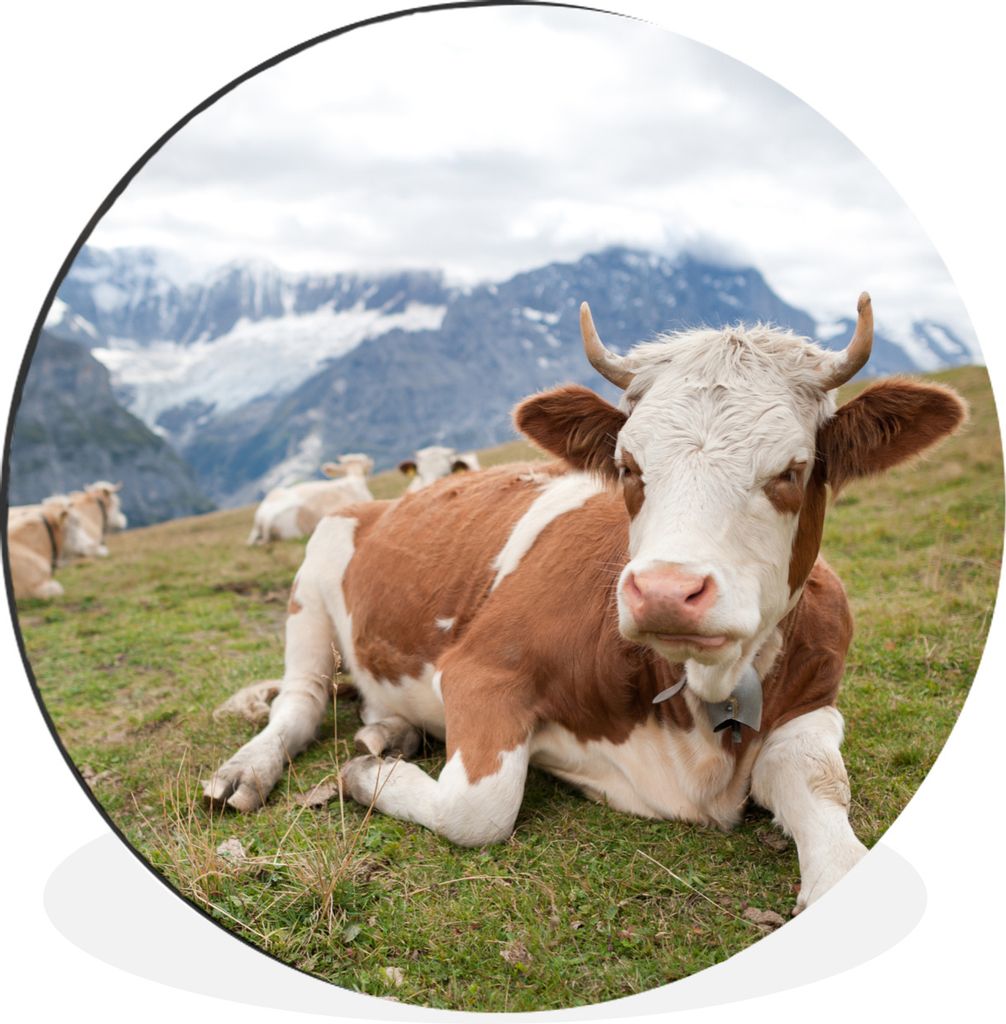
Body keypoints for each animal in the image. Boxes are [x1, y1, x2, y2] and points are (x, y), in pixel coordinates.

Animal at [205, 294, 966, 914]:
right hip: (313, 580)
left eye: (792, 470)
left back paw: (387, 733)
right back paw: (255, 769)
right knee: (300, 702)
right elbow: (478, 808)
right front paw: (365, 778)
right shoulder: (481, 667)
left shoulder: (815, 699)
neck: (695, 709)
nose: (665, 591)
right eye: (629, 467)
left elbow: (821, 794)